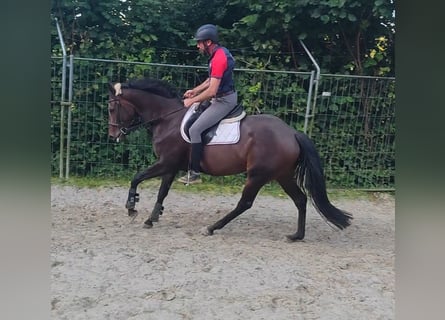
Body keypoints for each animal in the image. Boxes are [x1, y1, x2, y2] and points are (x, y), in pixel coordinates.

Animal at [107, 77, 350, 240]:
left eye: (111, 108)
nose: (113, 135)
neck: (167, 119)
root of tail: (291, 133)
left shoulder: (166, 163)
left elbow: (137, 177)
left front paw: (131, 207)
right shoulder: (171, 166)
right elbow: (162, 192)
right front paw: (151, 218)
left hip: (258, 175)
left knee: (245, 203)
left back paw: (211, 228)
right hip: (283, 175)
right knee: (300, 199)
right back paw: (297, 235)